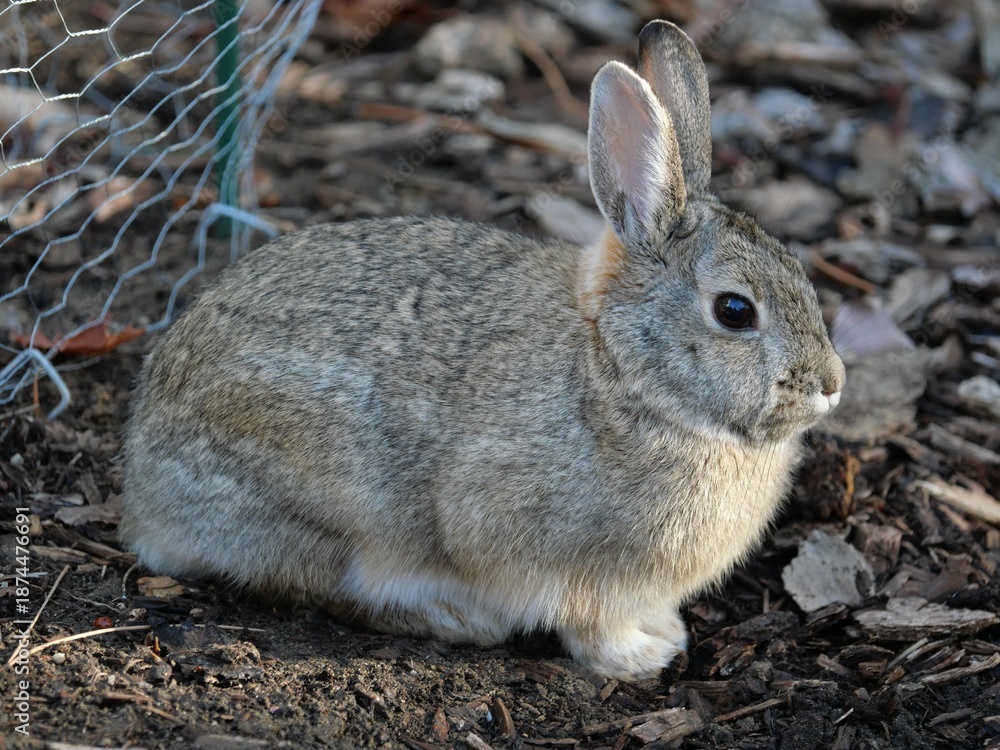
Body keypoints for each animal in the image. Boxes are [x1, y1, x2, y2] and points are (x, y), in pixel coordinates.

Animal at [120, 20, 845, 680]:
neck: (622, 368)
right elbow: (587, 618)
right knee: (329, 590)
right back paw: (457, 618)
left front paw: (665, 632)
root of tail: (144, 488)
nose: (831, 383)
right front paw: (639, 657)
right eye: (734, 311)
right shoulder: (560, 560)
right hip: (329, 507)